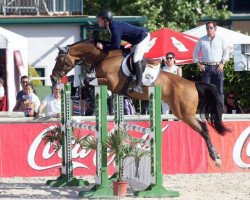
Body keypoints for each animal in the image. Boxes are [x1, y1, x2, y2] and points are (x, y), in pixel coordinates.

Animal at [51, 39, 230, 167]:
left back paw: (216, 158)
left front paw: (90, 97)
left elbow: (88, 80)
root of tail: (193, 84)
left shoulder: (110, 82)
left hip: (184, 114)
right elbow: (86, 81)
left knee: (204, 129)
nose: (53, 78)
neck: (103, 57)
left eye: (60, 59)